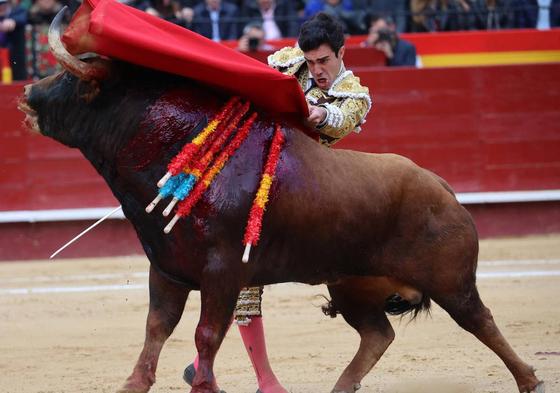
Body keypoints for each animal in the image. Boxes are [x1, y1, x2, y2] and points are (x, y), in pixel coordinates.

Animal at [16, 11, 544, 392]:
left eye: (72, 80)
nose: (26, 93)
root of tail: (443, 188)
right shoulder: (166, 267)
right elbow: (156, 331)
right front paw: (137, 384)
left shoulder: (222, 272)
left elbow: (205, 334)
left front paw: (204, 385)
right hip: (352, 285)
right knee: (378, 334)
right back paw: (340, 389)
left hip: (451, 282)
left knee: (481, 321)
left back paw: (530, 380)